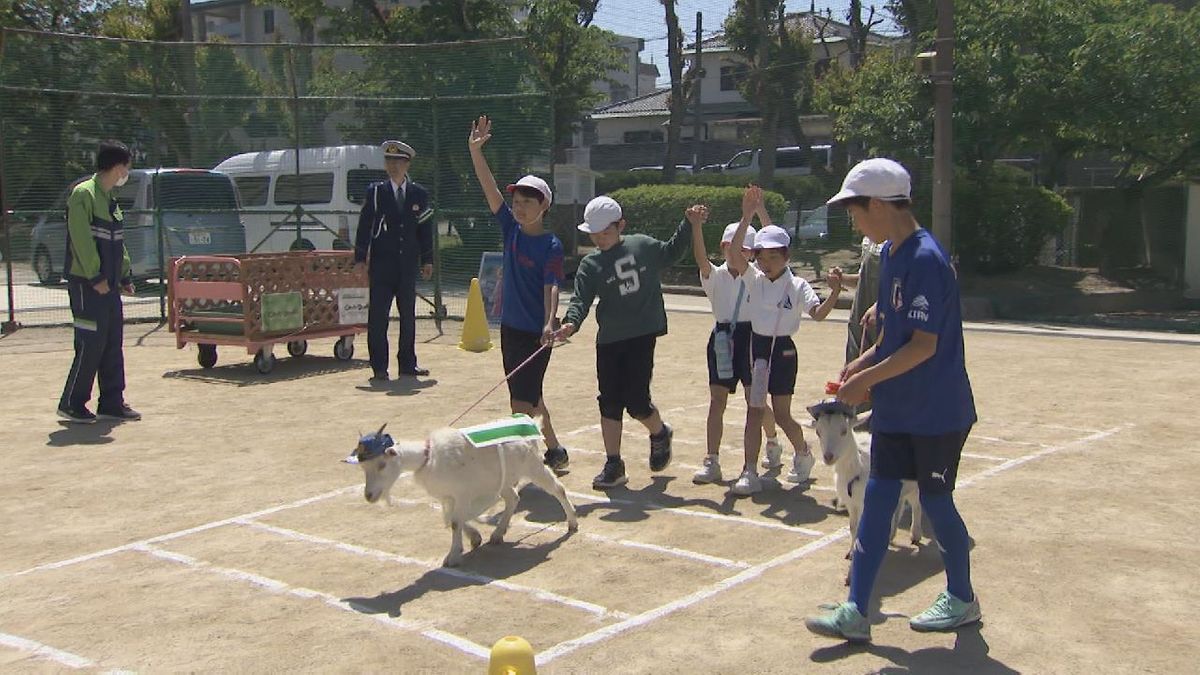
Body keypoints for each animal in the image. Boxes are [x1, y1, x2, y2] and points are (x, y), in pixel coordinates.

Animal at [345, 417, 578, 564]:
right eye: (363, 467)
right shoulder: (449, 496)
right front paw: (474, 538)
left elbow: (455, 522)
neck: (428, 457)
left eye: (382, 464)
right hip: (500, 480)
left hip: (533, 466)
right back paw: (497, 534)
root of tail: (531, 422)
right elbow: (450, 519)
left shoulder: (463, 493)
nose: (369, 496)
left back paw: (572, 524)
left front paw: (453, 557)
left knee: (558, 489)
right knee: (513, 498)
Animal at [811, 398, 921, 578]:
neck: (856, 467)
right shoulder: (851, 503)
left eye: (844, 431)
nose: (828, 457)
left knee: (916, 503)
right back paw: (891, 535)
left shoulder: (865, 503)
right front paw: (850, 553)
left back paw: (915, 534)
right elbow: (853, 527)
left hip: (915, 481)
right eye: (818, 432)